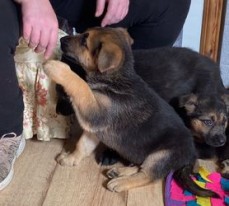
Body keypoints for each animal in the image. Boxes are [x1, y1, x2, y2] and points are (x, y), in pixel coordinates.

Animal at [42, 27, 216, 196]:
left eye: (85, 41)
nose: (61, 39)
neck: (116, 77)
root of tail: (191, 155)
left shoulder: (95, 111)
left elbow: (81, 85)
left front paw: (58, 68)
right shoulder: (95, 129)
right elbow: (82, 145)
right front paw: (71, 158)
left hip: (161, 155)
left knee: (148, 175)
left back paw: (121, 182)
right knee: (140, 166)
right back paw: (120, 172)